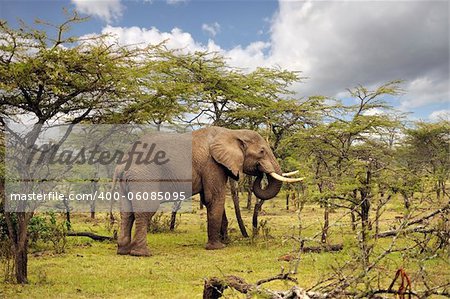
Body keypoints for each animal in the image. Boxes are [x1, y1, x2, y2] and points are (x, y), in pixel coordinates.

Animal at [115, 125, 302, 256]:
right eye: (262, 151)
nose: (260, 173)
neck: (233, 133)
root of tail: (124, 162)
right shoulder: (212, 164)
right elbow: (214, 198)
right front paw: (217, 247)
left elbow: (209, 201)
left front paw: (225, 241)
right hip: (144, 177)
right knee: (144, 211)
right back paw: (142, 254)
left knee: (126, 212)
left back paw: (123, 251)